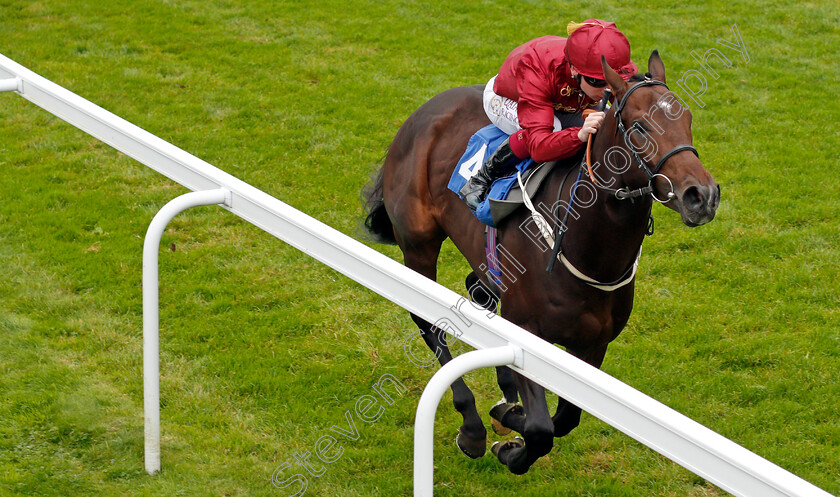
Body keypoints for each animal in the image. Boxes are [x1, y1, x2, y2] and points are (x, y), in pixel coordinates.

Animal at [358, 51, 720, 472]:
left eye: (688, 119)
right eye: (639, 127)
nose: (702, 196)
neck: (586, 250)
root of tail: (424, 110)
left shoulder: (593, 344)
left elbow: (566, 418)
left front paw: (508, 413)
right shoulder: (528, 331)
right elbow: (541, 428)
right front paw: (510, 443)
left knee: (477, 290)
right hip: (418, 245)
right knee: (428, 321)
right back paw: (473, 428)